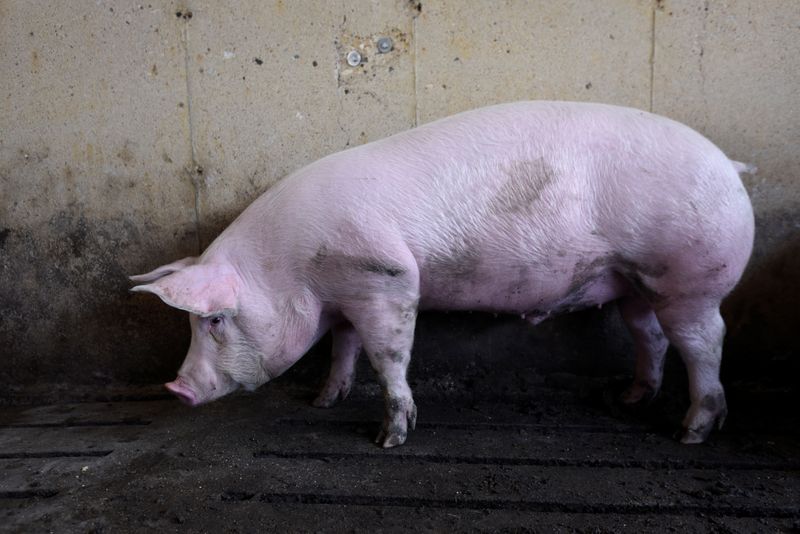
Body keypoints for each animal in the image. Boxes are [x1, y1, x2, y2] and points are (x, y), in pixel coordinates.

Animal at [131, 100, 756, 448]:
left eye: (213, 320)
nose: (175, 388)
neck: (292, 267)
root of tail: (728, 163)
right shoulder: (346, 297)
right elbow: (342, 348)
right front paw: (322, 402)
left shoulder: (385, 278)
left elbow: (388, 356)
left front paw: (387, 439)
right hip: (637, 283)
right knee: (649, 335)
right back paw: (630, 401)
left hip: (691, 276)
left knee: (706, 342)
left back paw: (690, 433)